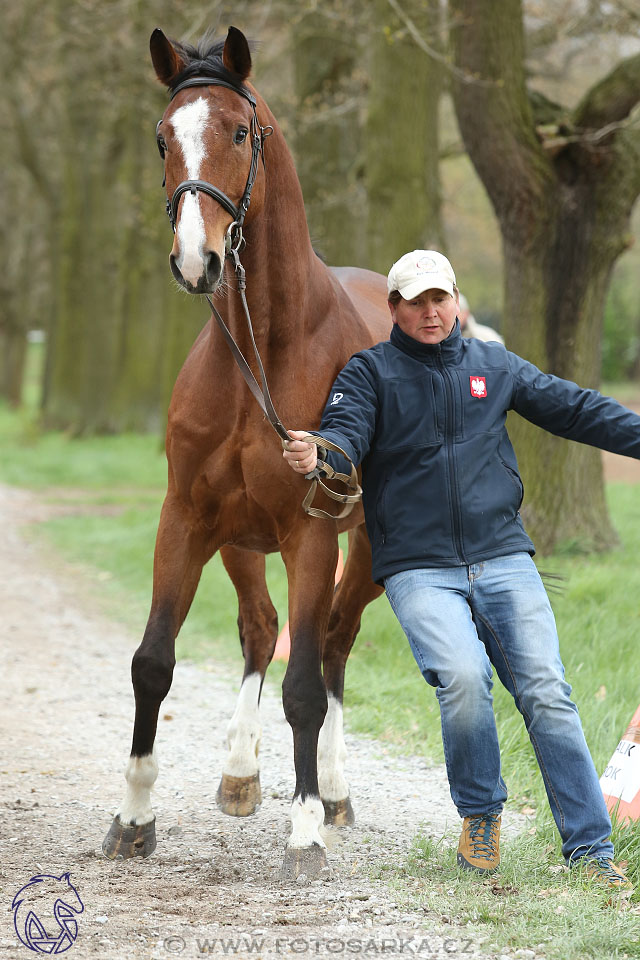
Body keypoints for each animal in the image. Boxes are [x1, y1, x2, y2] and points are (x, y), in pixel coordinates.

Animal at [101, 24, 390, 876]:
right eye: (163, 137)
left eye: (237, 132)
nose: (195, 259)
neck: (265, 352)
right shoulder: (187, 520)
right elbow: (153, 662)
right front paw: (133, 817)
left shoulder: (310, 536)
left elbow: (304, 686)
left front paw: (305, 833)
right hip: (238, 542)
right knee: (262, 630)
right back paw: (239, 773)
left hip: (365, 552)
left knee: (332, 645)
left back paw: (332, 793)